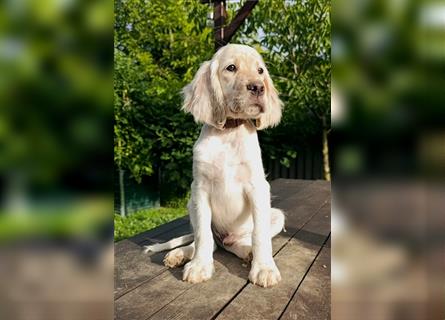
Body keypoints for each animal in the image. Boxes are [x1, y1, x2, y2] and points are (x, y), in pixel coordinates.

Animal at [146, 43, 284, 288]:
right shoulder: (200, 189)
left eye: (260, 71)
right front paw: (199, 266)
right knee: (206, 241)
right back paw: (180, 254)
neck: (228, 133)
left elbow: (260, 235)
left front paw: (264, 268)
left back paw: (247, 251)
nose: (258, 88)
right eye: (231, 68)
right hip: (191, 205)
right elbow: (202, 235)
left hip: (276, 216)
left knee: (237, 242)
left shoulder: (258, 187)